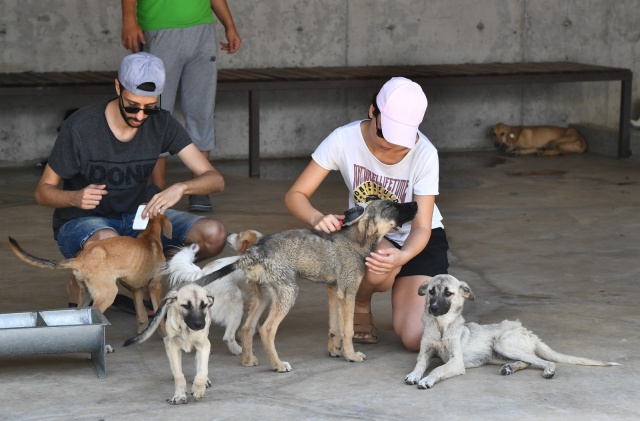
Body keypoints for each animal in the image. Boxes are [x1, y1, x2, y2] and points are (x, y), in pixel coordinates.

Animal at [8, 215, 172, 334]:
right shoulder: (155, 285)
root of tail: (80, 259)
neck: (149, 235)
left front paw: (142, 331)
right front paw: (164, 334)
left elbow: (141, 314)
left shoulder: (136, 287)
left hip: (87, 295)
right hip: (107, 294)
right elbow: (159, 313)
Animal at [194, 199, 420, 370]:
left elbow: (335, 326)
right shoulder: (347, 292)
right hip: (288, 292)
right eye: (390, 206)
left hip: (264, 295)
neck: (357, 240)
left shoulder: (333, 291)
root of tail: (254, 252)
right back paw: (278, 365)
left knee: (247, 327)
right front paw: (351, 355)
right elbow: (347, 329)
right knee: (267, 329)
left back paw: (247, 360)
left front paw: (335, 351)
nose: (416, 203)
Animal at [404, 274, 620, 388]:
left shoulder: (456, 362)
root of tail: (529, 332)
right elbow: (420, 364)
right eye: (431, 292)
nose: (433, 308)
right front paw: (415, 375)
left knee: (542, 360)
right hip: (498, 353)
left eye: (448, 293)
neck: (442, 326)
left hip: (503, 343)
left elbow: (438, 369)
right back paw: (509, 368)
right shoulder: (425, 353)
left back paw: (548, 370)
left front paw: (428, 379)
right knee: (527, 360)